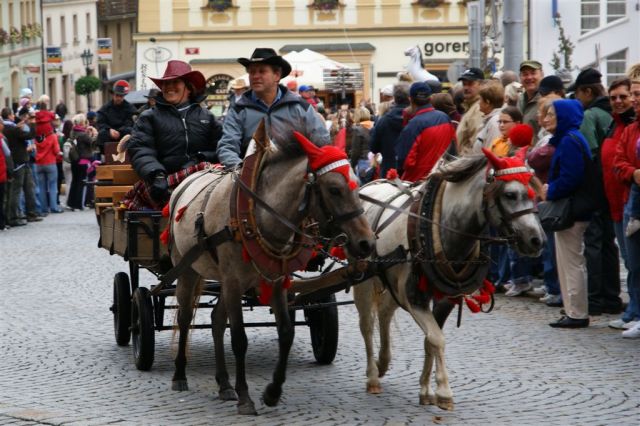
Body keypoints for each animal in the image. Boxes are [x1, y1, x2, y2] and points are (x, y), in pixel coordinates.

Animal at [168, 121, 376, 414]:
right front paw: (246, 397)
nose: (367, 243)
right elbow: (239, 339)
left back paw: (224, 384)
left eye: (358, 185)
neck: (256, 215)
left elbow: (286, 333)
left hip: (223, 281)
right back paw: (180, 375)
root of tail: (183, 184)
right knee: (185, 317)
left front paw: (272, 392)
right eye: (334, 189)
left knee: (217, 321)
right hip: (188, 269)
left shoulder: (275, 282)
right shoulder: (233, 282)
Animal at [352, 151, 544, 412]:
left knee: (384, 313)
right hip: (363, 279)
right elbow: (436, 339)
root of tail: (369, 185)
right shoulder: (415, 299)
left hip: (392, 283)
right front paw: (444, 391)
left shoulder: (444, 298)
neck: (437, 226)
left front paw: (425, 390)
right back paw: (372, 375)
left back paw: (383, 361)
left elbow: (430, 340)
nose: (537, 240)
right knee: (367, 325)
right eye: (510, 195)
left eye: (533, 192)